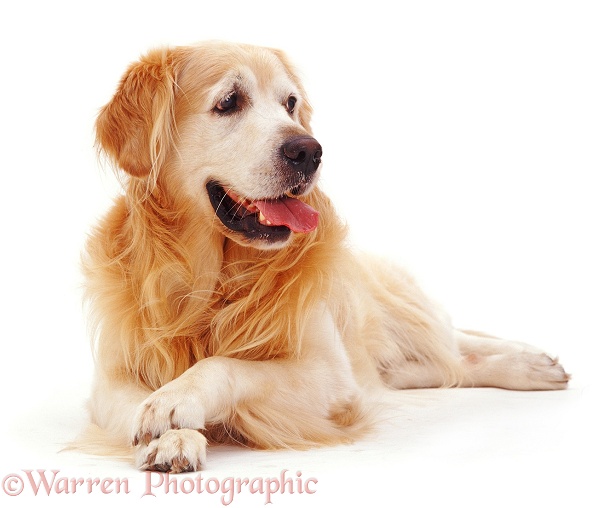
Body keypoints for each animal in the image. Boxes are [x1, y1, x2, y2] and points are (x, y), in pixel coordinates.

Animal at [82, 39, 568, 472]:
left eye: (290, 104)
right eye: (229, 102)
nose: (308, 151)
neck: (212, 276)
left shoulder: (331, 378)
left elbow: (224, 364)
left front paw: (175, 398)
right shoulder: (109, 381)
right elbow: (135, 405)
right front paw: (167, 435)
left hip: (393, 305)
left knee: (455, 343)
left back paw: (531, 361)